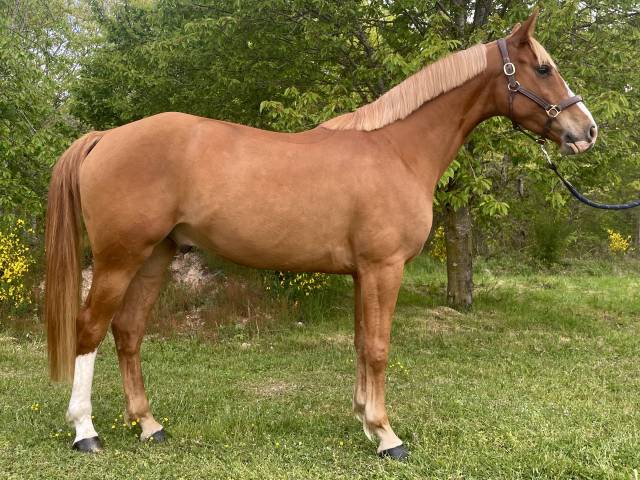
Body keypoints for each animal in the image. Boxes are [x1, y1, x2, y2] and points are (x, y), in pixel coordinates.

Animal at [45, 11, 597, 460]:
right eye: (543, 68)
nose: (586, 130)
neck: (397, 149)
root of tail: (105, 138)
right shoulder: (383, 268)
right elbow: (378, 347)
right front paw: (387, 436)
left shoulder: (362, 273)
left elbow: (360, 342)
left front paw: (366, 422)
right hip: (119, 258)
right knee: (89, 330)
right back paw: (85, 432)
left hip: (156, 256)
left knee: (128, 331)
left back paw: (148, 425)